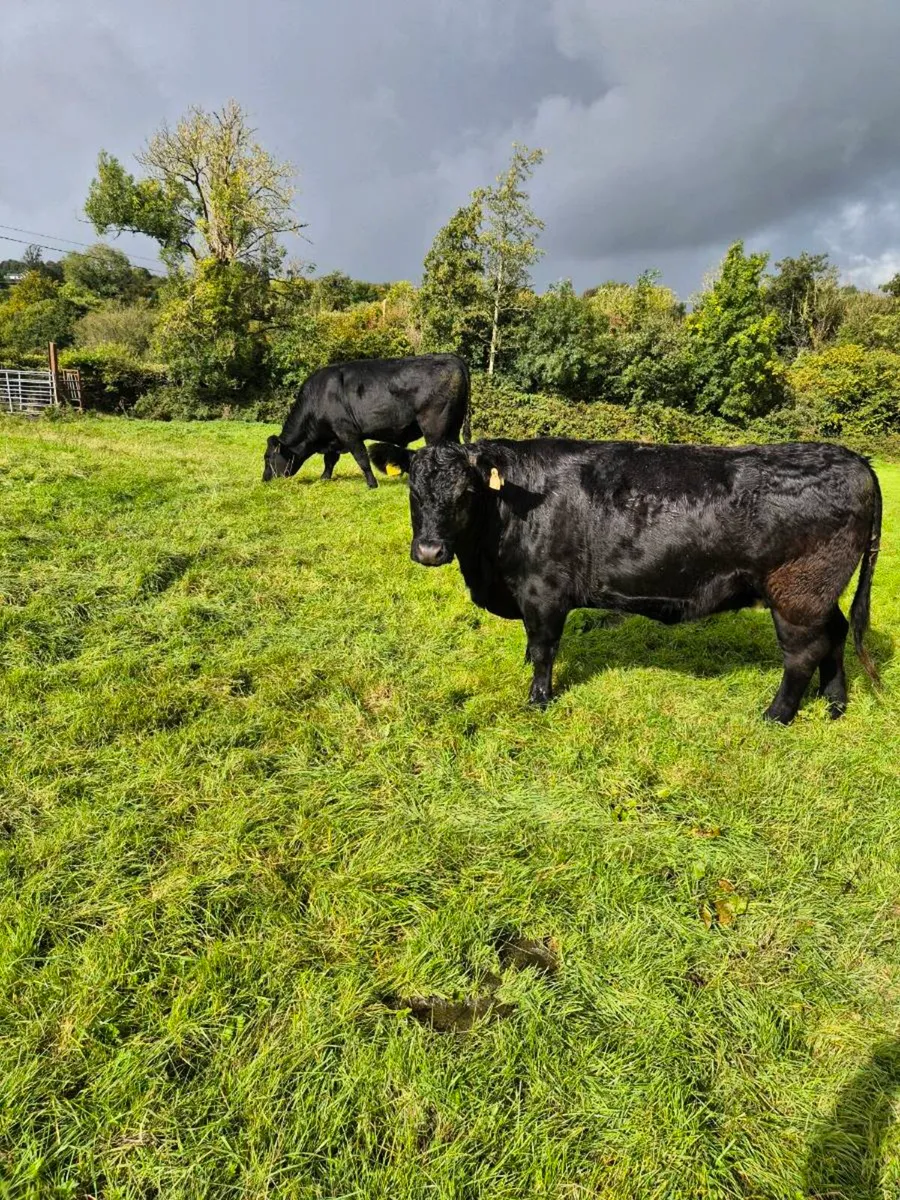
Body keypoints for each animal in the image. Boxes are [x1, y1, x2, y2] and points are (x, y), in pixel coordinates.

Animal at [262, 354, 469, 487]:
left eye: (267, 457)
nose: (265, 479)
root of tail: (452, 357)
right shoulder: (334, 437)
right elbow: (330, 460)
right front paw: (324, 478)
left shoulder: (347, 432)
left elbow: (362, 458)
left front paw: (371, 483)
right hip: (454, 425)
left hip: (434, 425)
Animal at [370, 437, 882, 723]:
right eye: (413, 490)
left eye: (468, 491)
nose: (429, 551)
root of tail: (853, 458)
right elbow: (532, 646)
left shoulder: (544, 591)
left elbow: (544, 648)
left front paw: (538, 700)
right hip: (820, 593)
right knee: (835, 634)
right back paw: (834, 703)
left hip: (796, 594)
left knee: (802, 654)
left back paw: (776, 715)